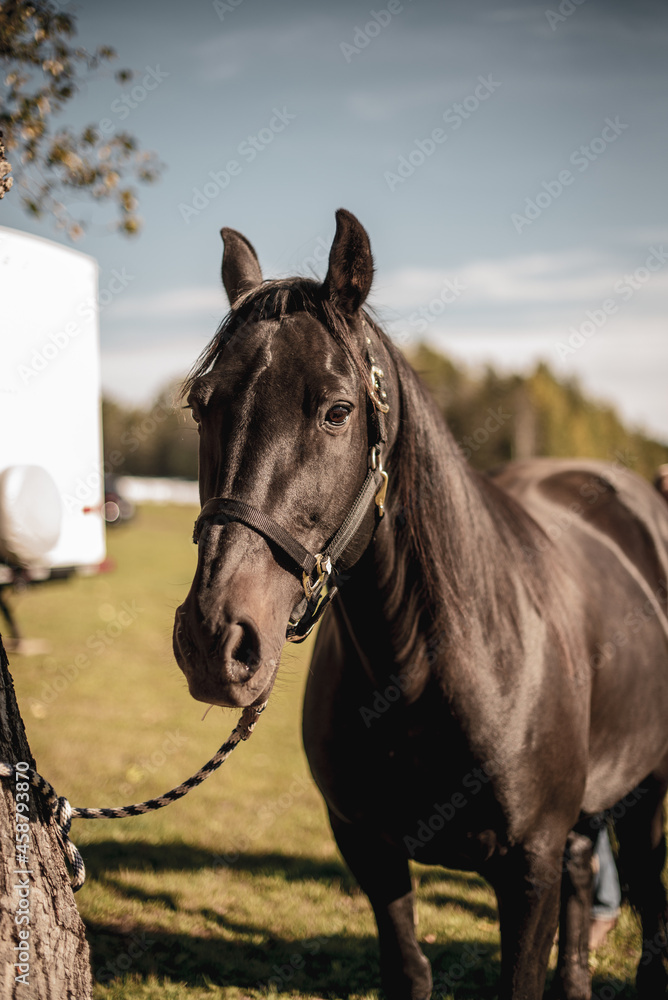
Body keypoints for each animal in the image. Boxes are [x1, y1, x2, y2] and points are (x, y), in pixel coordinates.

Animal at [173, 209, 668, 999]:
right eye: (200, 405)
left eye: (337, 410)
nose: (215, 640)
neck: (428, 669)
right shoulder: (369, 849)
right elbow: (408, 969)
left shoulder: (526, 869)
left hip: (648, 793)